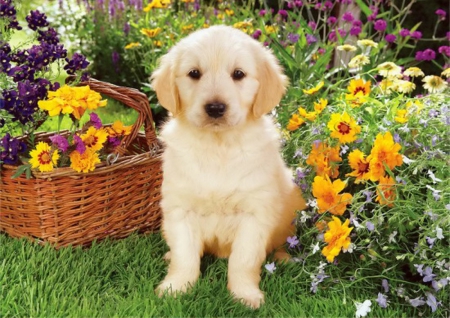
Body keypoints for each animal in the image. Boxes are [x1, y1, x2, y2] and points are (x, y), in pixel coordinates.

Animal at [151, 25, 306, 310]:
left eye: (238, 74)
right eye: (194, 73)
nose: (215, 108)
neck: (218, 146)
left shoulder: (254, 214)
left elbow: (243, 261)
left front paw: (245, 295)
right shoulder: (180, 210)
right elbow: (185, 256)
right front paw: (175, 288)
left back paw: (284, 258)